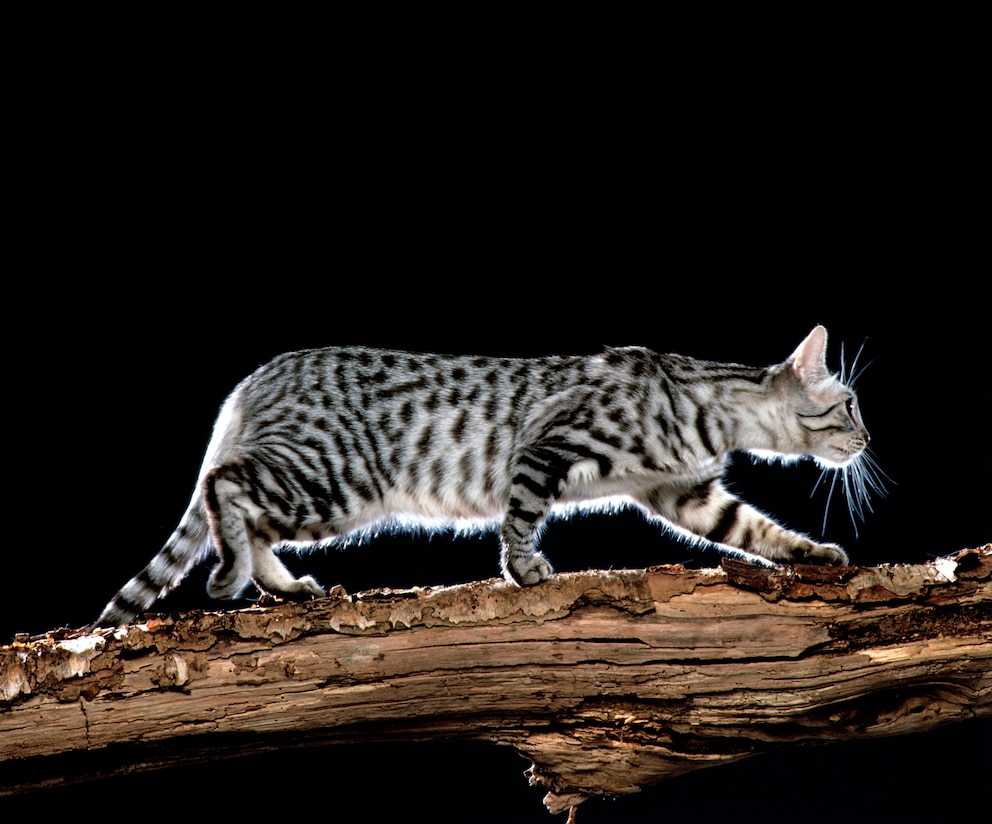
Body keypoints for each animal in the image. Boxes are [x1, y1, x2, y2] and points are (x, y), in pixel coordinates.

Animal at [97, 326, 876, 628]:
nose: (869, 439)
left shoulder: (681, 493)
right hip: (333, 477)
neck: (711, 402)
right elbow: (522, 515)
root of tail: (251, 382)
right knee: (225, 488)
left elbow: (756, 529)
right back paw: (232, 574)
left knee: (249, 513)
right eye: (848, 404)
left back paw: (285, 587)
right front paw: (525, 571)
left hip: (324, 488)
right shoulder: (548, 445)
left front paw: (814, 553)